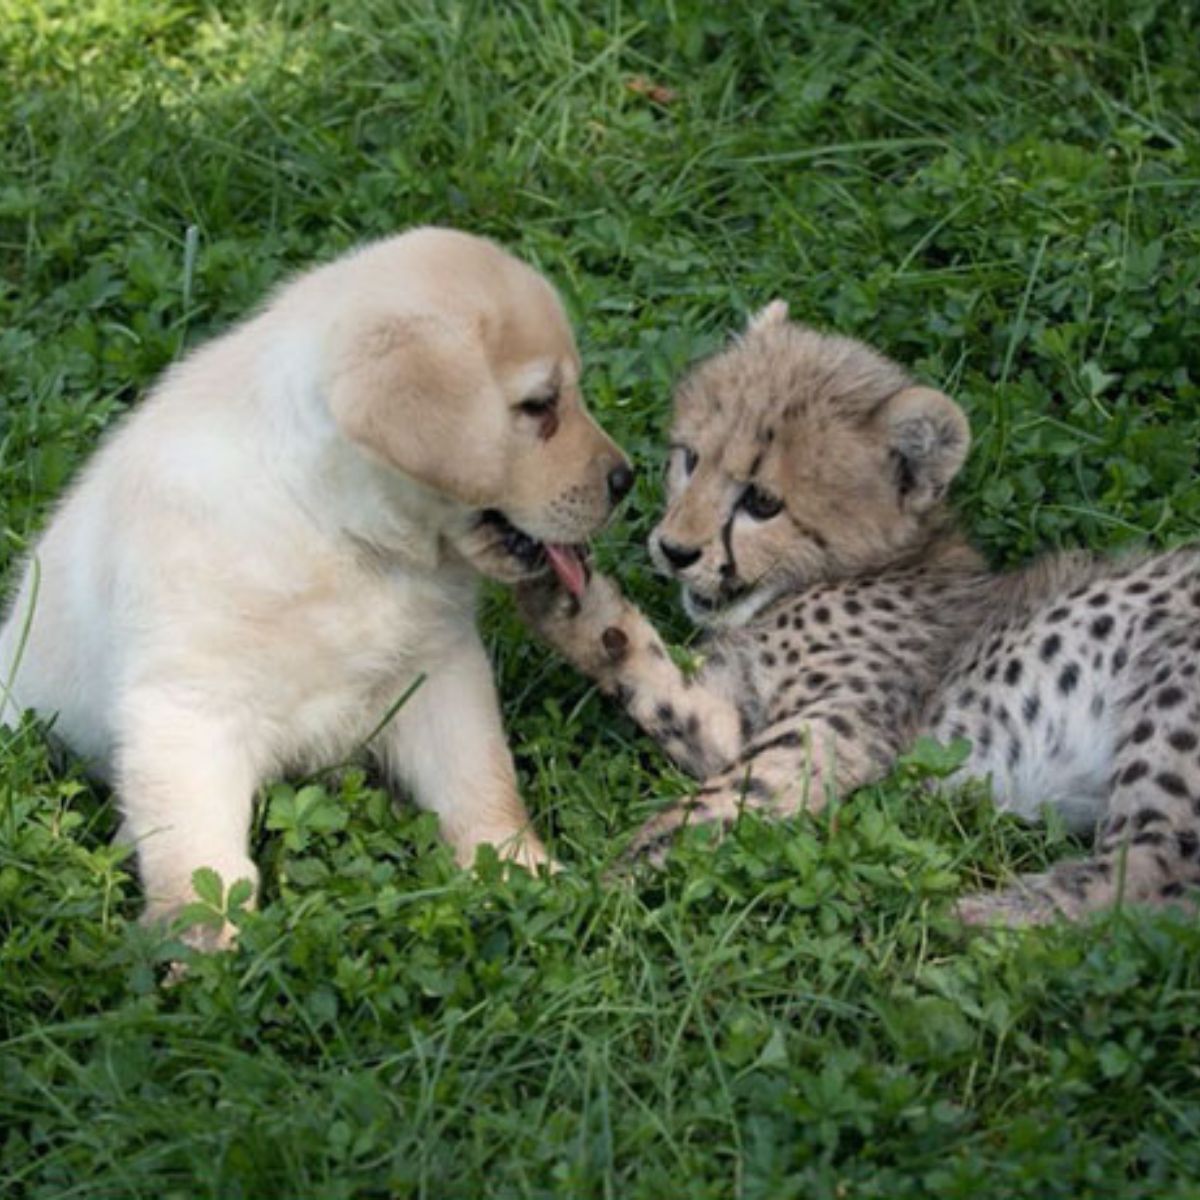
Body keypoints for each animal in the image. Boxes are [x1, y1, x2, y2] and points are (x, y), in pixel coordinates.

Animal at [0, 225, 628, 936]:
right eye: (539, 406)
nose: (626, 479)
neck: (333, 530)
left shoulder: (439, 670)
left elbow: (479, 781)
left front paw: (520, 870)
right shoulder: (185, 710)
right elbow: (199, 859)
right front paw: (203, 944)